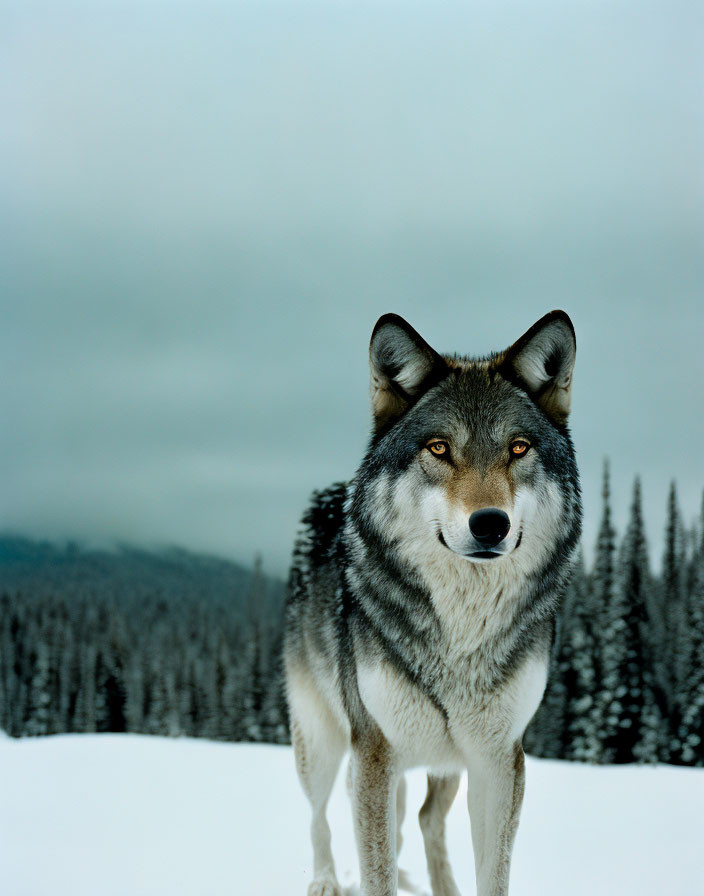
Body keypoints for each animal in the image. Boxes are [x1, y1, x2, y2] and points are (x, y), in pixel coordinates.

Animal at [284, 312, 580, 896]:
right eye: (439, 448)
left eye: (518, 448)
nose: (490, 523)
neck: (461, 631)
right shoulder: (374, 752)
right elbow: (372, 866)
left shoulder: (498, 759)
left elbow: (492, 873)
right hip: (324, 743)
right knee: (319, 815)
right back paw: (325, 880)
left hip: (446, 763)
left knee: (422, 820)